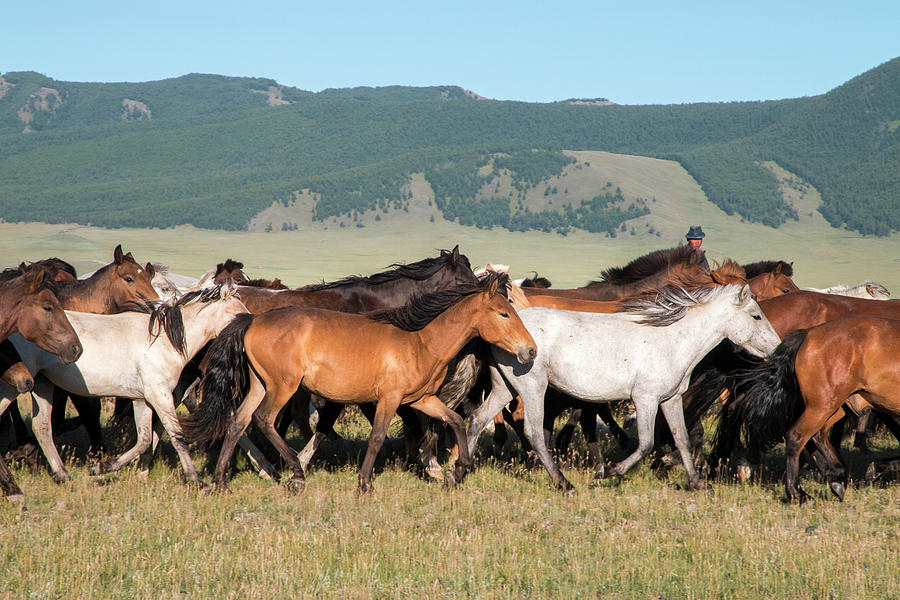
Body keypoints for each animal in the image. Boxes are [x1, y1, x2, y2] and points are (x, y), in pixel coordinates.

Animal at [0, 284, 248, 486]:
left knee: (42, 427)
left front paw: (103, 468)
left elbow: (145, 440)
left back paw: (63, 475)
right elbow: (177, 436)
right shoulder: (160, 396)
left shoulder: (142, 399)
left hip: (42, 384)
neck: (164, 341)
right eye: (239, 314)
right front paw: (195, 479)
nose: (248, 344)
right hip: (15, 385)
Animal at [182, 274, 536, 494]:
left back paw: (221, 482)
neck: (421, 342)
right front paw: (365, 484)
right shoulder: (389, 399)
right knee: (264, 420)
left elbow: (457, 422)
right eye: (504, 313)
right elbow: (377, 437)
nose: (530, 350)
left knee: (237, 423)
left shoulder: (421, 400)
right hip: (283, 387)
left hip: (259, 385)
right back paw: (296, 475)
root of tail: (251, 319)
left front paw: (457, 471)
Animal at [464, 284, 780, 492]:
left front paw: (697, 483)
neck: (673, 339)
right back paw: (564, 483)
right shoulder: (645, 399)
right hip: (533, 387)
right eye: (756, 316)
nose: (777, 349)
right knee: (533, 433)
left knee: (478, 420)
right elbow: (646, 443)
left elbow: (682, 440)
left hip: (505, 387)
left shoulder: (670, 399)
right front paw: (607, 472)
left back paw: (463, 469)